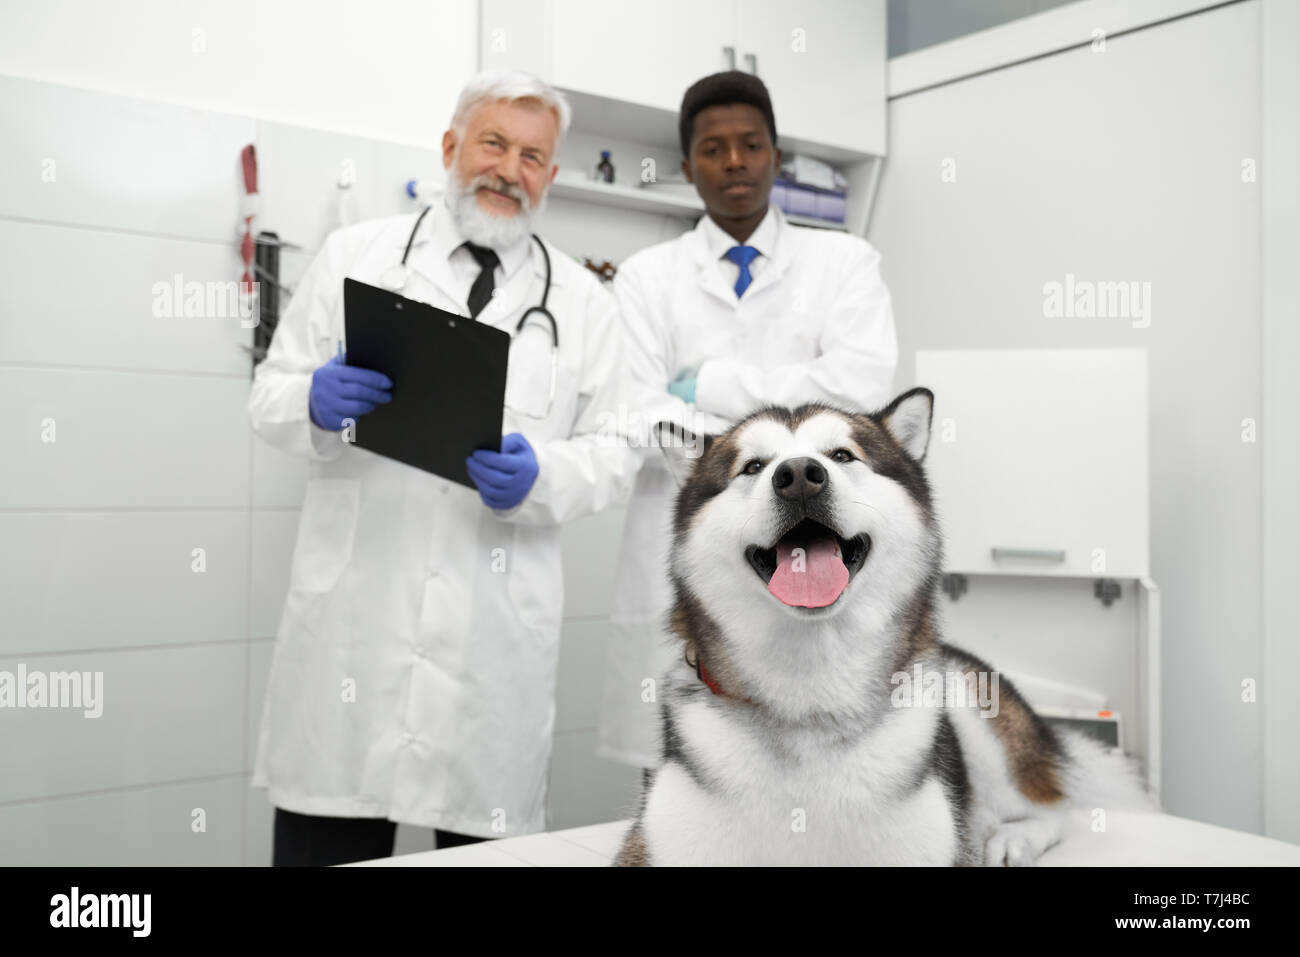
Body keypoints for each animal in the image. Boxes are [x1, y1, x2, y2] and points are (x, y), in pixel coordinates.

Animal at [613, 390, 1154, 868]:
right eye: (753, 466)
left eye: (841, 455)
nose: (799, 476)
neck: (810, 702)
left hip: (973, 702)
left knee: (1056, 807)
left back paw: (1009, 837)